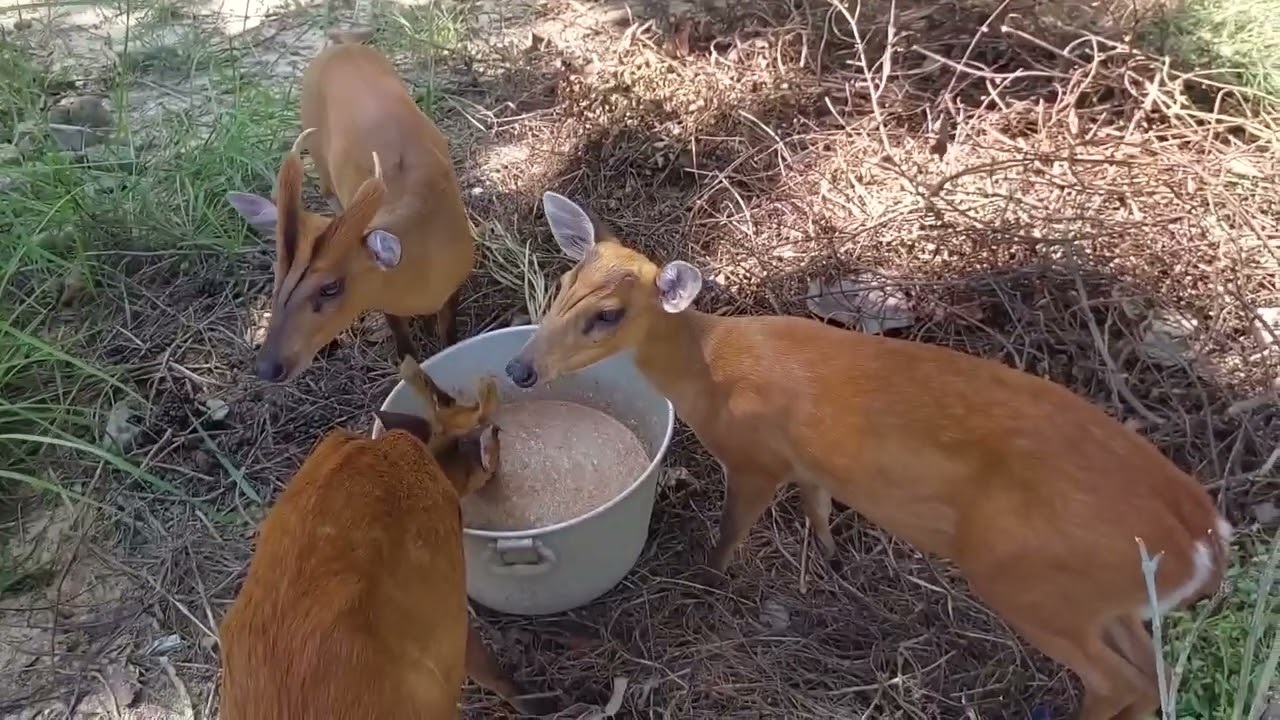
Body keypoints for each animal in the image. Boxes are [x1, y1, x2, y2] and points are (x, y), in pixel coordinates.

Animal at [226, 29, 474, 384]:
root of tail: (338, 47)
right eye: (277, 272)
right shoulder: (384, 300)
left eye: (331, 287)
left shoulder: (455, 284)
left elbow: (449, 338)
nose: (267, 368)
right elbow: (404, 347)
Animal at [501, 191, 1234, 720]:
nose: (518, 369)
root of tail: (1204, 536)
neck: (711, 369)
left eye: (608, 314)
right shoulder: (809, 463)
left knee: (1119, 681)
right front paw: (830, 560)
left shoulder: (756, 457)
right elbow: (820, 509)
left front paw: (707, 578)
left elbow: (732, 532)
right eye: (564, 282)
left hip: (1030, 580)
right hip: (1106, 601)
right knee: (1152, 674)